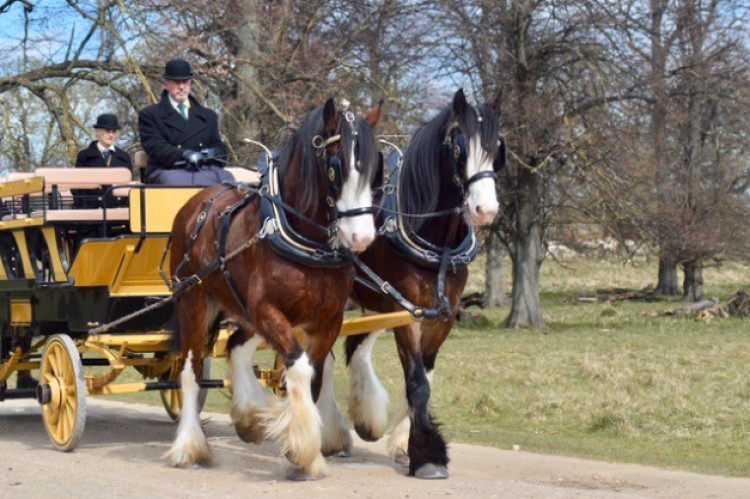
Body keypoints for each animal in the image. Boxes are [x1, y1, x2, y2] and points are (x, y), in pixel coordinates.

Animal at [164, 98, 382, 480]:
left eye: (375, 170)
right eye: (336, 165)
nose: (361, 236)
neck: (302, 237)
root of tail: (195, 204)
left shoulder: (327, 319)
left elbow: (315, 374)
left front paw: (307, 447)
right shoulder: (267, 311)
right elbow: (298, 366)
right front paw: (302, 450)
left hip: (242, 308)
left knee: (235, 346)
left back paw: (249, 415)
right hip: (194, 301)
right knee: (190, 372)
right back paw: (188, 447)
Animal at [338, 88, 502, 478]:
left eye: (498, 148)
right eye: (459, 147)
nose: (485, 210)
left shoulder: (442, 314)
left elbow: (425, 376)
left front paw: (404, 441)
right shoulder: (406, 312)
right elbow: (416, 381)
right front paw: (427, 455)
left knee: (353, 346)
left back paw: (363, 418)